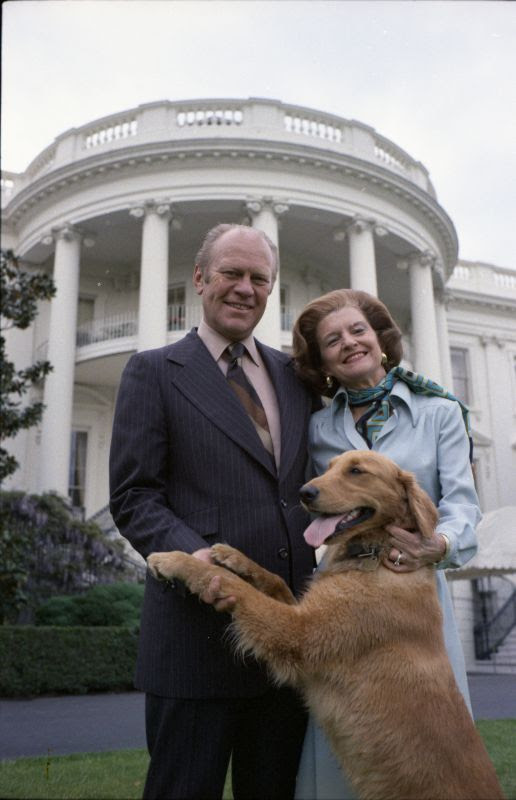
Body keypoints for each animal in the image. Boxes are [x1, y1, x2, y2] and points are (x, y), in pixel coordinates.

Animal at [147, 450, 502, 800]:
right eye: (328, 467)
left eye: (356, 471)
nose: (304, 492)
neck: (375, 554)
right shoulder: (303, 613)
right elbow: (271, 579)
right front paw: (230, 555)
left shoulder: (298, 633)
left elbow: (235, 587)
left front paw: (174, 560)